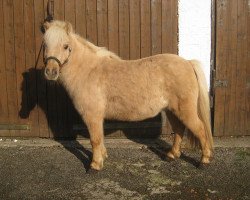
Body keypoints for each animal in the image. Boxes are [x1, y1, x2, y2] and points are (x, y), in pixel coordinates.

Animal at [42, 19, 213, 170]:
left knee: (200, 129)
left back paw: (204, 161)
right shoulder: (97, 117)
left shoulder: (92, 116)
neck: (88, 71)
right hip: (172, 110)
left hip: (185, 111)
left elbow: (95, 140)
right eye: (45, 45)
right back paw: (171, 155)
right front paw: (103, 157)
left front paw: (95, 165)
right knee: (179, 129)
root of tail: (188, 63)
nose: (51, 72)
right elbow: (100, 139)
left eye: (66, 46)